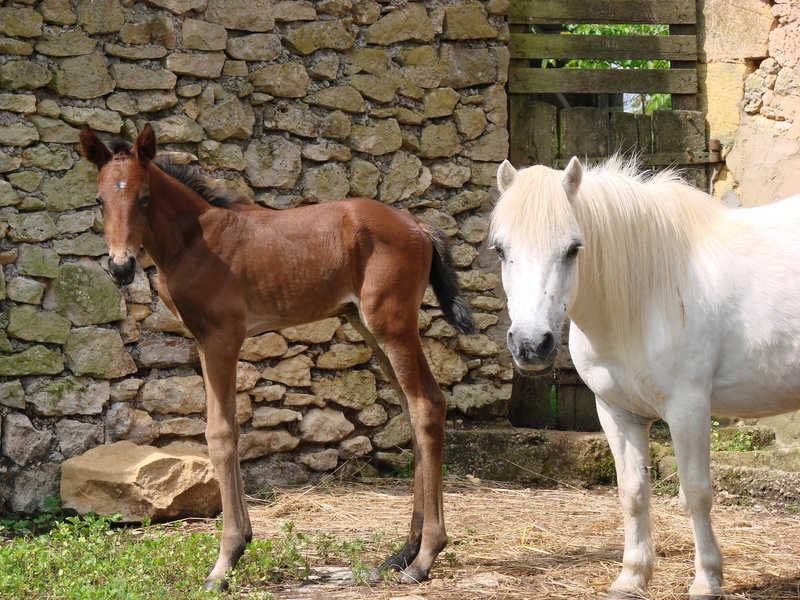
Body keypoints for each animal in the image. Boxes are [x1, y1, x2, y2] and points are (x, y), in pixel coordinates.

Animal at [80, 124, 476, 590]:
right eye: (99, 199)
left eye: (143, 197)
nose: (121, 266)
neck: (195, 240)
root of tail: (418, 224)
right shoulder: (207, 341)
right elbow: (232, 430)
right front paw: (241, 544)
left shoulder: (221, 337)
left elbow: (220, 435)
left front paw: (225, 561)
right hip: (368, 325)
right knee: (414, 411)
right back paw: (402, 552)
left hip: (391, 324)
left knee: (427, 405)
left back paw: (425, 557)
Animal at [490, 155, 800, 600]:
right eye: (501, 249)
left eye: (573, 249)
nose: (532, 345)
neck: (650, 293)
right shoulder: (618, 413)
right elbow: (632, 493)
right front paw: (632, 577)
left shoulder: (688, 409)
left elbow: (695, 494)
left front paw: (706, 580)